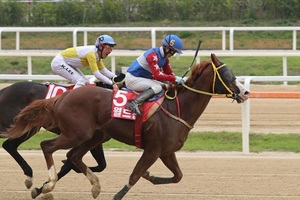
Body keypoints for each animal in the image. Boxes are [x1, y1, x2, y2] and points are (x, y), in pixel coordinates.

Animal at [1, 53, 251, 200]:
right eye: (227, 74)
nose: (246, 92)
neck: (177, 108)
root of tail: (60, 98)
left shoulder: (166, 151)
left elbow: (177, 176)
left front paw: (152, 177)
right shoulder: (153, 149)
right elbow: (134, 175)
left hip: (92, 135)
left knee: (72, 155)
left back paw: (90, 186)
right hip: (76, 133)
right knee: (46, 146)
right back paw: (45, 184)